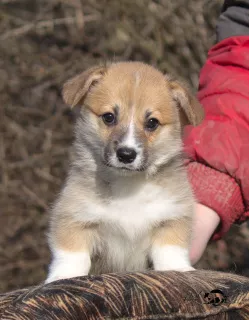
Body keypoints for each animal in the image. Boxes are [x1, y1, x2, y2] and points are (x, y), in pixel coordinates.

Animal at [45, 62, 203, 282]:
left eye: (152, 122)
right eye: (109, 117)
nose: (126, 154)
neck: (128, 184)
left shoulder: (172, 216)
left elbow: (170, 249)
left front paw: (178, 269)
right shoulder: (75, 216)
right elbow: (72, 253)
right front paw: (64, 276)